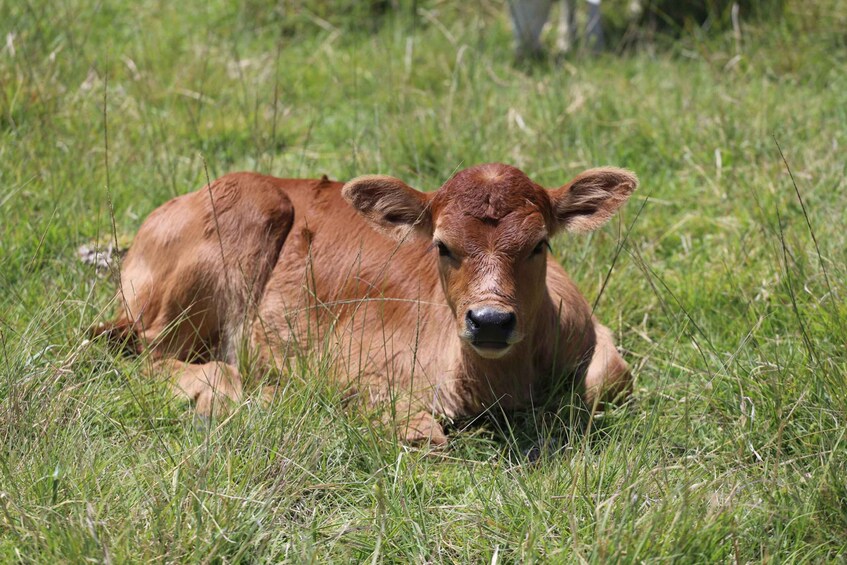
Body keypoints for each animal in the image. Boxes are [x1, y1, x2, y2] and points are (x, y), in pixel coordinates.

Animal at [101, 161, 636, 442]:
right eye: (442, 245)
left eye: (539, 244)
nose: (489, 321)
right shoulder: (355, 362)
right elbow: (422, 434)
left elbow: (609, 380)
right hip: (237, 223)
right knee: (150, 353)